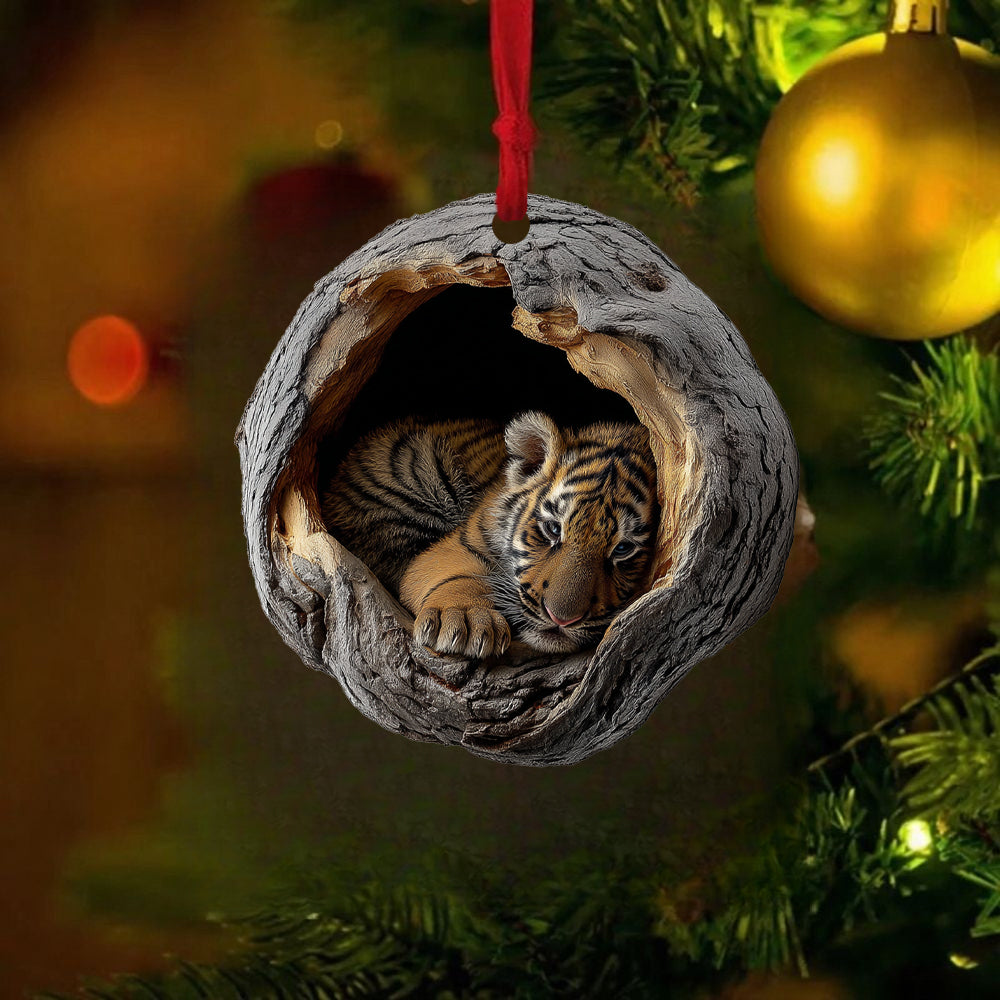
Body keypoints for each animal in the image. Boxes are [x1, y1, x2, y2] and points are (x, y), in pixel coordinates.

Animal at [321, 412, 659, 657]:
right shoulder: (457, 545)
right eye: (552, 529)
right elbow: (459, 576)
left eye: (623, 549)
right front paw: (465, 620)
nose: (561, 619)